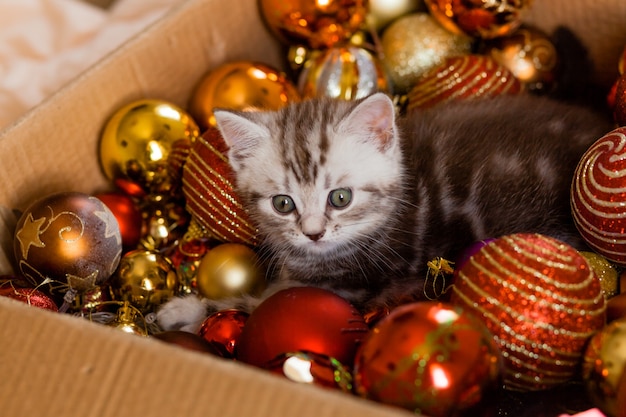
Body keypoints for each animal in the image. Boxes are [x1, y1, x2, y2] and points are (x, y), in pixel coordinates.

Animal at [156, 92, 608, 332]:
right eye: (283, 204)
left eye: (340, 198)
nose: (313, 233)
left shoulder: (356, 288)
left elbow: (250, 305)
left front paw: (184, 309)